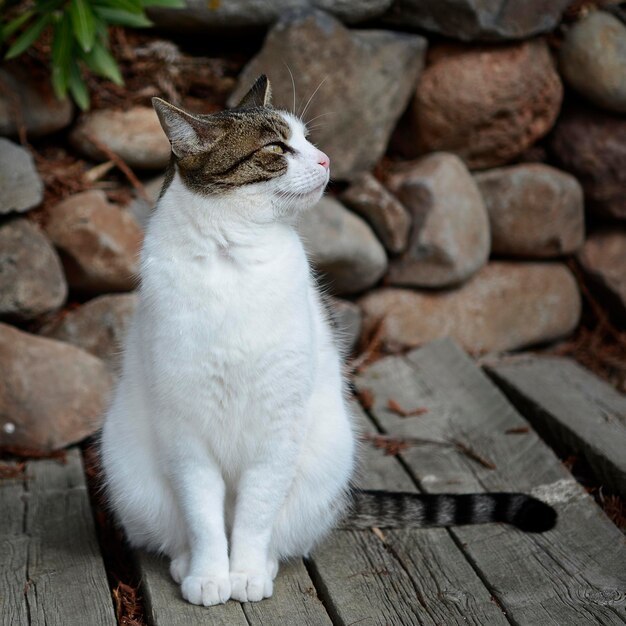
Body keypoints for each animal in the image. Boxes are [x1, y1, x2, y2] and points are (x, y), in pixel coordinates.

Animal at [98, 73, 556, 604]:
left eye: (307, 138)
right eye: (277, 148)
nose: (325, 160)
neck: (234, 258)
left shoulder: (279, 426)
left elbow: (255, 514)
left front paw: (246, 571)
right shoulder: (186, 433)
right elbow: (205, 518)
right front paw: (211, 575)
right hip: (135, 479)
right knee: (178, 530)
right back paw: (184, 562)